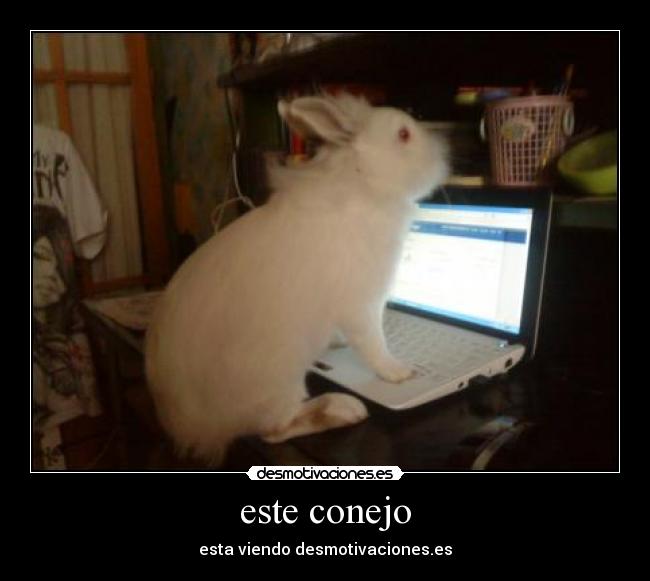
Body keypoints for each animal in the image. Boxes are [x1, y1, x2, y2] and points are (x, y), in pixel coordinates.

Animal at [145, 92, 449, 465]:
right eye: (404, 135)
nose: (442, 155)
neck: (363, 182)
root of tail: (191, 427)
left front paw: (338, 343)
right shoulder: (362, 304)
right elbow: (374, 344)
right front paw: (399, 372)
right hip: (278, 381)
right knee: (275, 430)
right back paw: (344, 409)